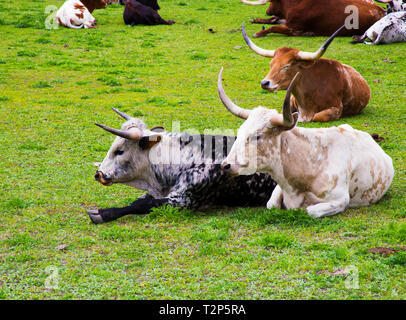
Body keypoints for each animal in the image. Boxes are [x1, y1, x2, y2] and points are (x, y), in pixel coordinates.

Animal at [85, 109, 276, 224]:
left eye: (120, 151)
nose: (98, 174)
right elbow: (140, 201)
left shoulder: (184, 200)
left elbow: (143, 205)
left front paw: (102, 214)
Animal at [217, 67, 394, 218]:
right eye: (240, 132)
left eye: (257, 136)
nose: (225, 165)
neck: (310, 163)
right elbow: (271, 204)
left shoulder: (340, 200)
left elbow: (308, 211)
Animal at [239, 0, 386, 37]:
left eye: (272, 1)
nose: (267, 11)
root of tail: (382, 10)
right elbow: (273, 21)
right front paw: (256, 20)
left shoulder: (295, 29)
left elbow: (274, 27)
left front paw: (259, 33)